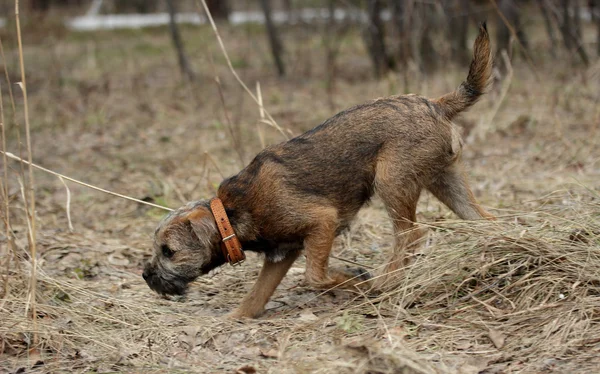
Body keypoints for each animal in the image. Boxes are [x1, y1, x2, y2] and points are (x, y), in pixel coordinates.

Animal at [143, 21, 494, 318]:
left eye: (169, 251)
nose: (146, 275)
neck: (230, 213)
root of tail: (436, 103)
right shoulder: (280, 256)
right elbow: (256, 296)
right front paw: (235, 319)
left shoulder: (322, 222)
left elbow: (315, 276)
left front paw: (358, 281)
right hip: (446, 181)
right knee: (484, 219)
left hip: (391, 182)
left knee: (411, 234)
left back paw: (385, 282)